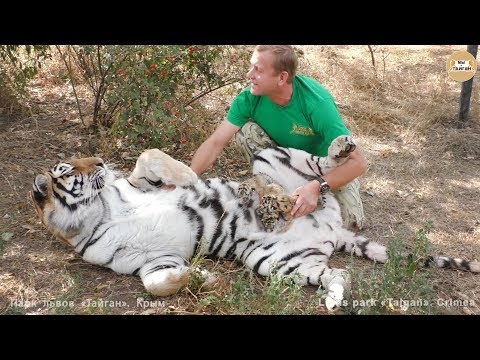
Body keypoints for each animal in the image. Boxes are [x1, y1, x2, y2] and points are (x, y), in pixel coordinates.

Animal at [30, 136, 480, 310]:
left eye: (81, 162)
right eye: (70, 168)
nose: (100, 161)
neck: (99, 210)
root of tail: (334, 231)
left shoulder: (140, 184)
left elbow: (150, 158)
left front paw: (190, 179)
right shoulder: (152, 260)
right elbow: (156, 284)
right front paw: (203, 279)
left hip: (274, 159)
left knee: (321, 167)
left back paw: (336, 150)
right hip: (277, 261)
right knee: (339, 275)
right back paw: (333, 299)